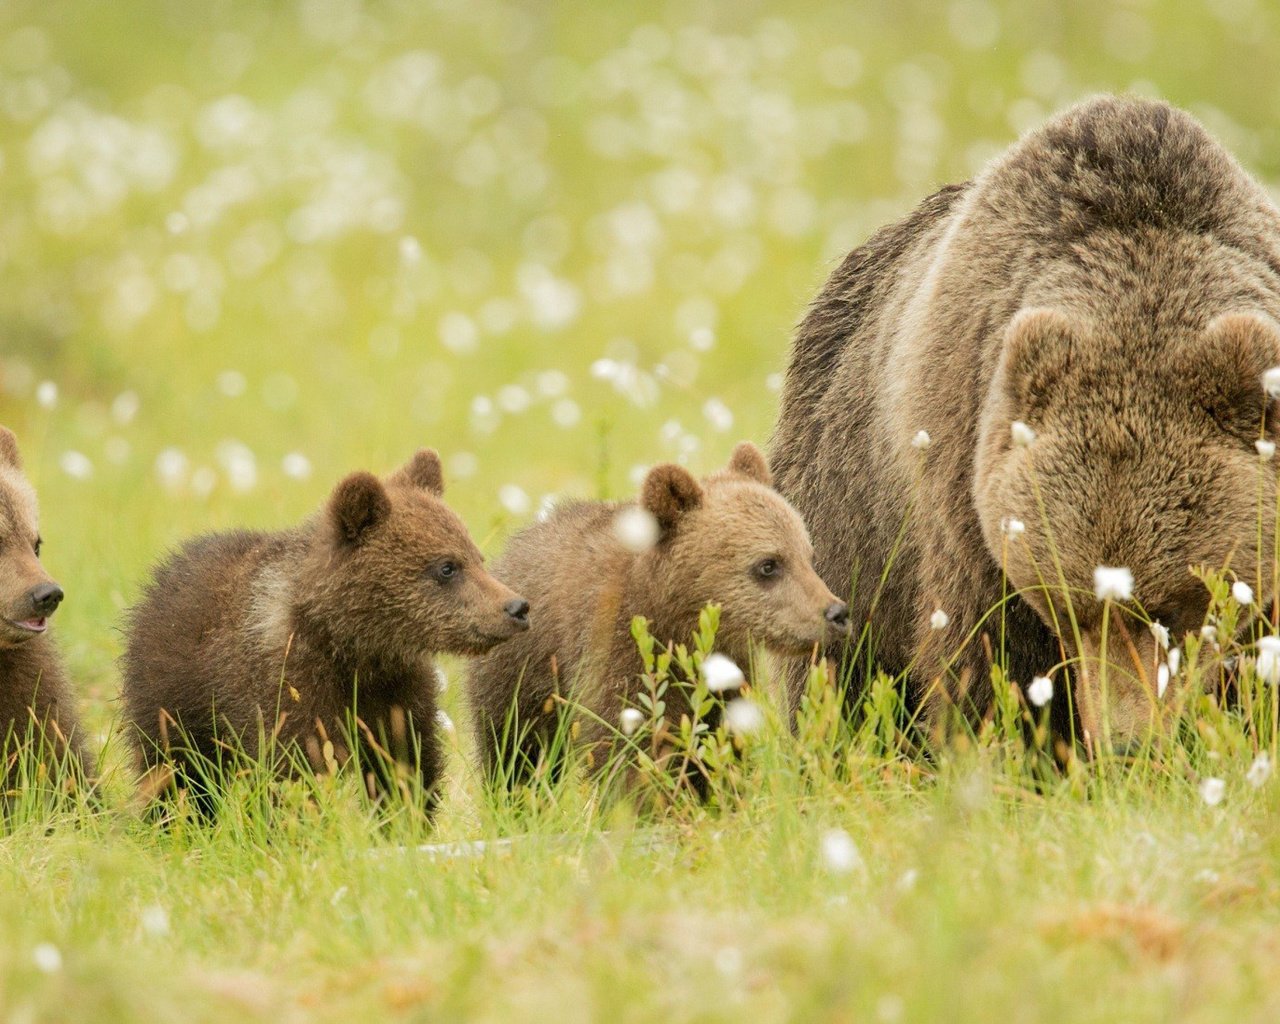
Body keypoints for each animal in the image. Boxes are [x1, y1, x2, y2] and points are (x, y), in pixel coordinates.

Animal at [762, 96, 1280, 752]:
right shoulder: (966, 485)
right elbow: (986, 655)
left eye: (1171, 607)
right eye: (1067, 606)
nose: (1125, 742)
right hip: (848, 507)